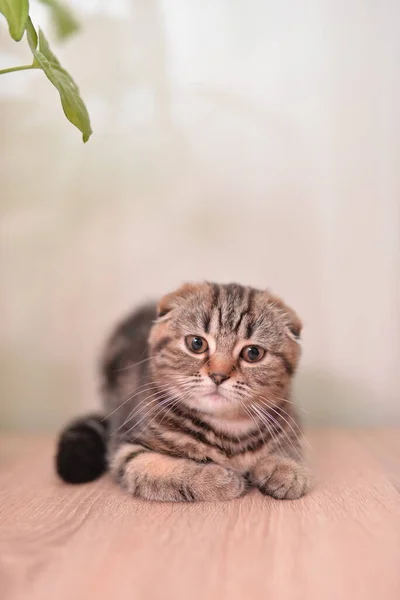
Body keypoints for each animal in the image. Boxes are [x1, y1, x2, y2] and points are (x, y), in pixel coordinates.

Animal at [55, 282, 310, 502]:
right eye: (196, 344)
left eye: (253, 353)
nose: (218, 376)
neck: (228, 431)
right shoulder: (127, 448)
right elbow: (165, 470)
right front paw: (218, 479)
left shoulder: (290, 424)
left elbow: (290, 449)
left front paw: (287, 471)